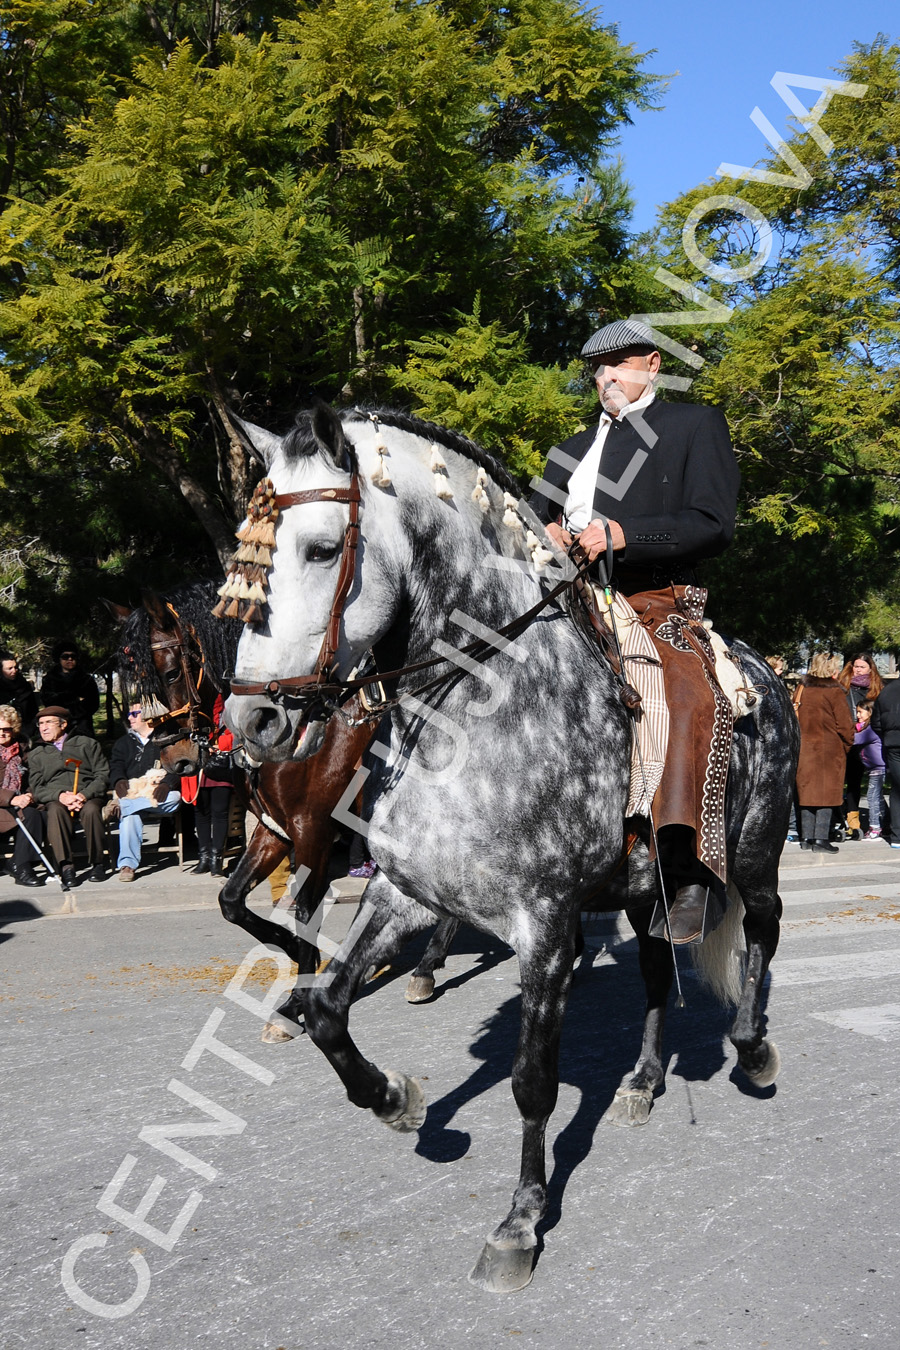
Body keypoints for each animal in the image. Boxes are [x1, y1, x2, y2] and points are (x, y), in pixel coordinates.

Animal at [226, 402, 804, 1296]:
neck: (477, 706)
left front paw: (520, 1223)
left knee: (763, 934)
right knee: (654, 974)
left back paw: (753, 1047)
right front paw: (396, 1099)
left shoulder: (544, 924)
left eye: (321, 549)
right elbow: (326, 1008)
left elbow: (534, 1082)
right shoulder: (403, 892)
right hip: (647, 889)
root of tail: (765, 671)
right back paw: (643, 1080)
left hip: (752, 851)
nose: (250, 721)